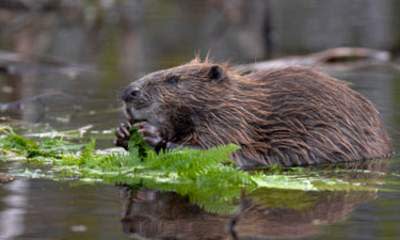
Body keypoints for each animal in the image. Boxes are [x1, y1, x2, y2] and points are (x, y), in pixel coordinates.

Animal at [114, 58, 392, 169]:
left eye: (174, 80)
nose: (128, 92)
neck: (243, 103)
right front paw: (123, 133)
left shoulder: (231, 122)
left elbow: (218, 151)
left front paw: (150, 136)